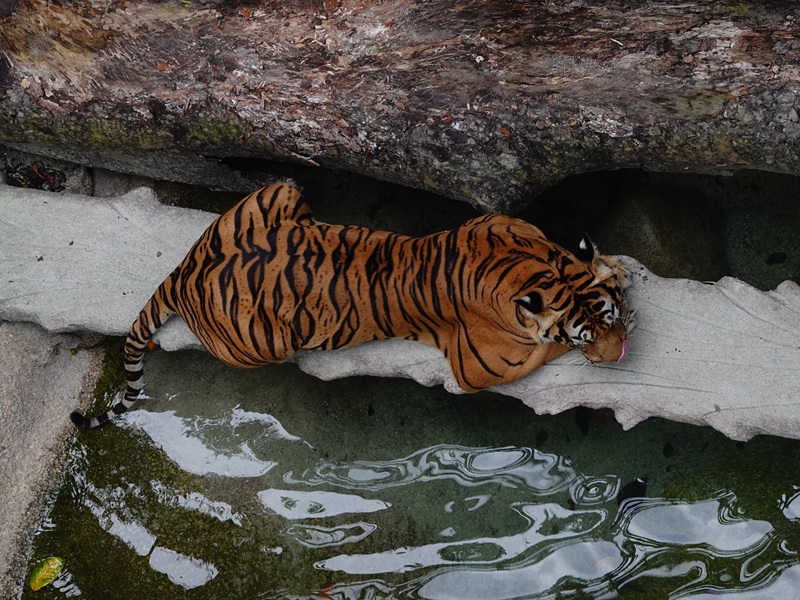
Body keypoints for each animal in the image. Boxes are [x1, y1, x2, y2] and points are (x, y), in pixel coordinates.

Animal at [70, 182, 633, 430]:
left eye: (610, 317)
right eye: (584, 334)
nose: (623, 355)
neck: (535, 265)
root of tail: (187, 269)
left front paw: (617, 272)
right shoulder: (481, 365)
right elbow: (545, 349)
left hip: (281, 190)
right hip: (265, 341)